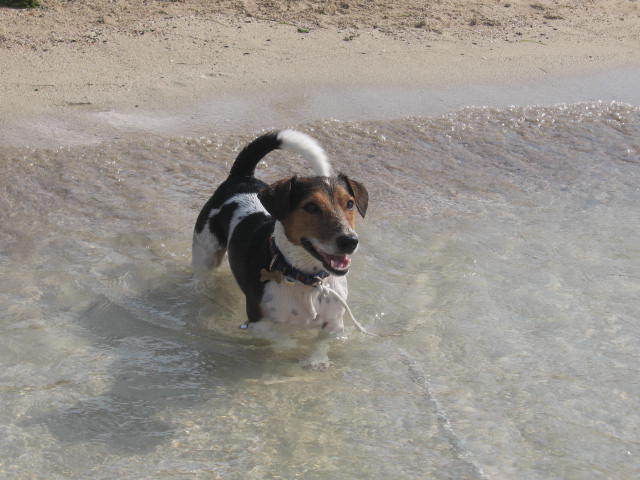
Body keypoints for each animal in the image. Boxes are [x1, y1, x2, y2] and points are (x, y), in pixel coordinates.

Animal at [192, 129, 368, 366]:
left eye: (349, 203)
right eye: (311, 207)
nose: (349, 241)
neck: (306, 280)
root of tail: (242, 178)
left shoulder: (334, 326)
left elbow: (322, 344)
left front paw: (316, 361)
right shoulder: (258, 324)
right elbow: (284, 341)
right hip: (205, 252)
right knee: (203, 274)